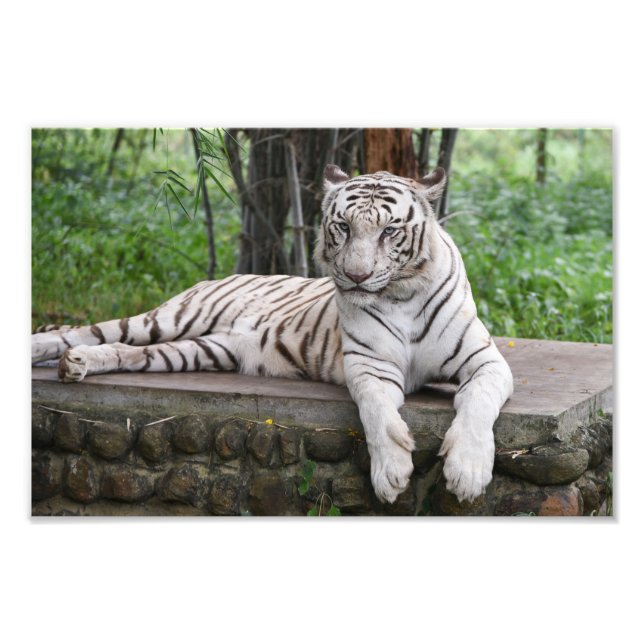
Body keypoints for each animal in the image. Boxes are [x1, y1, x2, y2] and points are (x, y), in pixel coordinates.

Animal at [32, 165, 513, 505]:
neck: (401, 295)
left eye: (389, 230)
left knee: (127, 352)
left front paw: (468, 473)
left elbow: (477, 404)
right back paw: (50, 350)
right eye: (343, 227)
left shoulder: (485, 360)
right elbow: (377, 413)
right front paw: (392, 472)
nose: (357, 277)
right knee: (91, 330)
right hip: (172, 318)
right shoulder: (370, 365)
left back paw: (78, 365)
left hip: (203, 350)